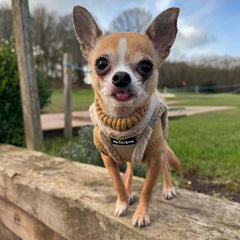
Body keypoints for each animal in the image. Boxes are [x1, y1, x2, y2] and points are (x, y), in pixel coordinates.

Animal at [72, 5, 181, 227]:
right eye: (101, 63)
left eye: (146, 66)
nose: (121, 76)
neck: (122, 119)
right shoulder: (107, 157)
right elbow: (117, 181)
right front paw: (123, 201)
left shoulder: (155, 159)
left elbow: (147, 189)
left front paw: (141, 214)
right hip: (131, 157)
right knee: (129, 171)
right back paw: (129, 191)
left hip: (162, 148)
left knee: (166, 167)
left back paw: (168, 188)